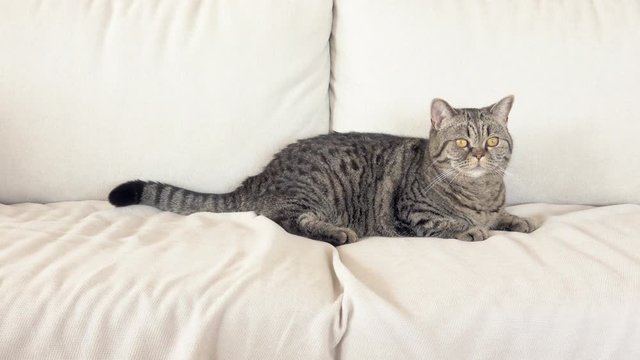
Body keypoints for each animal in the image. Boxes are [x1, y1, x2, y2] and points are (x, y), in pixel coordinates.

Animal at [109, 95, 536, 245]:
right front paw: (471, 228)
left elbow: (501, 216)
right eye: (463, 142)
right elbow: (450, 222)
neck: (480, 190)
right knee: (284, 220)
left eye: (492, 141)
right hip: (312, 191)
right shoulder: (411, 214)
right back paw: (337, 233)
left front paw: (517, 220)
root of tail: (261, 174)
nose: (479, 155)